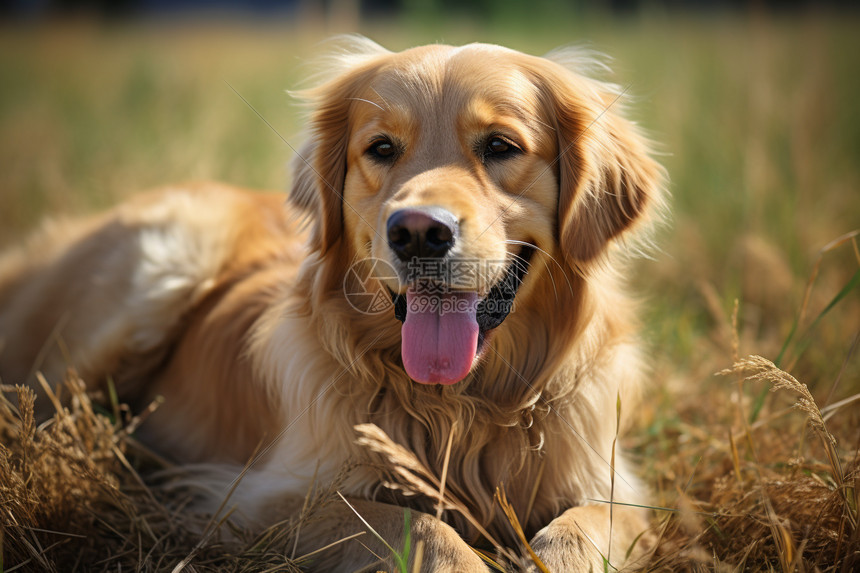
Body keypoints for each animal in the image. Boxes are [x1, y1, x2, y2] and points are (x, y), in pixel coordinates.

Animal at [0, 38, 664, 568]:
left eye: (500, 146)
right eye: (382, 148)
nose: (418, 232)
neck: (461, 405)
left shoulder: (613, 485)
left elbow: (580, 528)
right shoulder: (261, 498)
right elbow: (416, 524)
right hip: (158, 272)